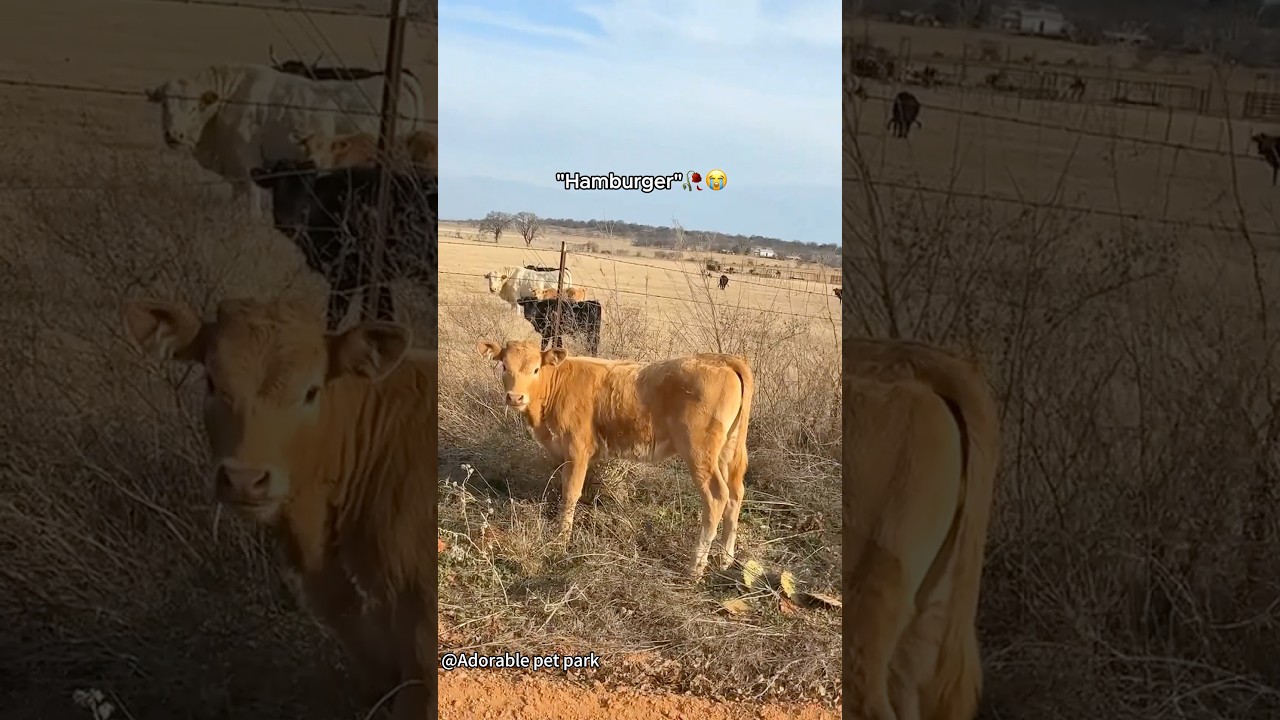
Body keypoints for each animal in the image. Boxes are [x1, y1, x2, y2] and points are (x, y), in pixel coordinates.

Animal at [248, 159, 437, 330]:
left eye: (307, 186)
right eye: (277, 182)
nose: (290, 223)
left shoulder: (346, 277)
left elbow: (336, 318)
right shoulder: (376, 279)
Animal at [476, 340, 752, 577]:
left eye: (535, 369)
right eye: (504, 366)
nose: (515, 397)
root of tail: (722, 360)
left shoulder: (577, 450)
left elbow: (570, 493)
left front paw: (561, 540)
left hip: (699, 451)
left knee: (717, 497)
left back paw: (695, 567)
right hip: (727, 450)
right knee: (735, 494)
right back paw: (726, 559)